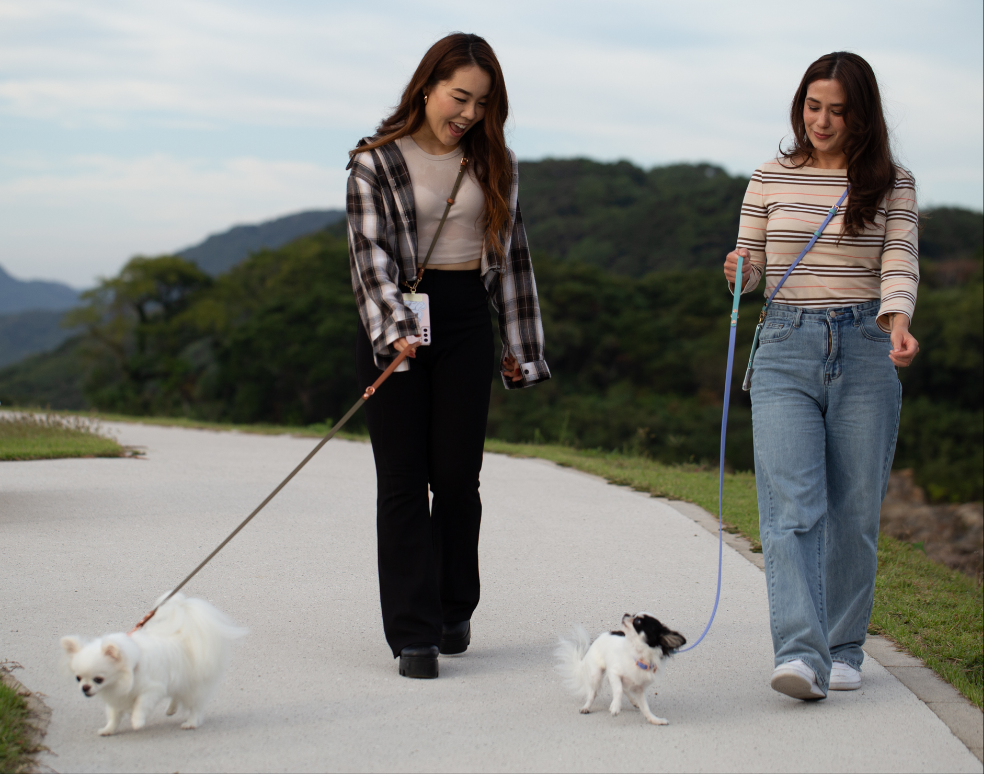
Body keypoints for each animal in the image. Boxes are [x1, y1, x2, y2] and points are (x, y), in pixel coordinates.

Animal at [61, 596, 246, 736]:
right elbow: (114, 715)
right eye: (78, 678)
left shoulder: (151, 690)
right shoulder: (117, 697)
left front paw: (137, 721)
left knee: (195, 707)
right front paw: (108, 730)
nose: (85, 688)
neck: (132, 667)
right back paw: (171, 709)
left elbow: (141, 704)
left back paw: (191, 723)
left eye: (98, 679)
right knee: (177, 696)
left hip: (193, 687)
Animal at [556, 612, 688, 728]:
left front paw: (654, 720)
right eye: (634, 615)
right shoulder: (614, 673)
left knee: (624, 689)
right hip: (596, 675)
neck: (638, 658)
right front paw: (615, 707)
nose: (626, 614)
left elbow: (645, 708)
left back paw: (634, 702)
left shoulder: (639, 689)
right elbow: (618, 690)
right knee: (593, 693)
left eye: (638, 621)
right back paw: (586, 707)